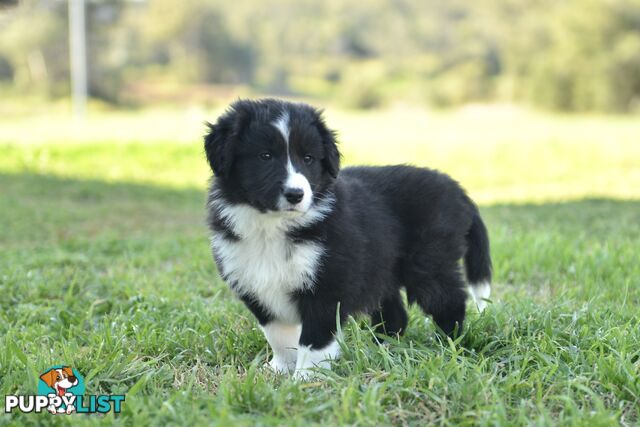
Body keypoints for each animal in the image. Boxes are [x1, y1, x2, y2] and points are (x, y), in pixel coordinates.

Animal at [204, 99, 490, 382]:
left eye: (308, 158)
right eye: (265, 156)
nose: (296, 194)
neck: (273, 226)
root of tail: (458, 190)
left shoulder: (329, 284)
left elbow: (314, 339)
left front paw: (306, 378)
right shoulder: (254, 284)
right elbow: (278, 335)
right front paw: (280, 370)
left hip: (428, 262)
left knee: (449, 301)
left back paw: (449, 346)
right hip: (381, 267)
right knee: (396, 315)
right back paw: (383, 349)